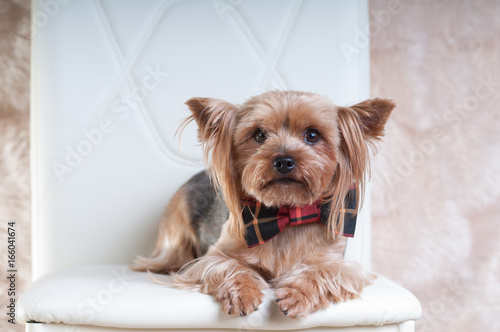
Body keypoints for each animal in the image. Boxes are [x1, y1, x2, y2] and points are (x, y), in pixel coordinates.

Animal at [133, 90, 394, 320]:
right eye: (259, 135)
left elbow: (323, 271)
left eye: (312, 135)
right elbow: (228, 265)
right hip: (176, 228)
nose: (284, 160)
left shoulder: (339, 264)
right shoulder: (211, 257)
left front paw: (297, 295)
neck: (286, 212)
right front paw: (242, 293)